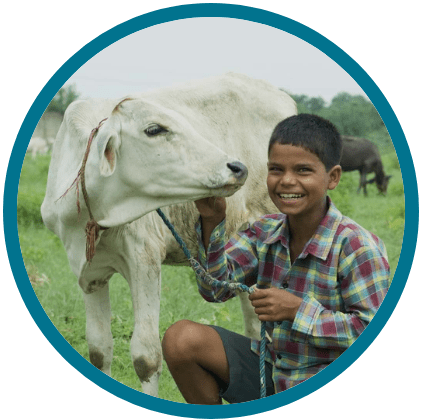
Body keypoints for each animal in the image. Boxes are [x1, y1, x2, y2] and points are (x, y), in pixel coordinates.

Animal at [40, 74, 296, 398]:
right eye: (154, 129)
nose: (237, 168)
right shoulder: (89, 274)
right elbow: (99, 350)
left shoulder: (144, 259)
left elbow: (146, 356)